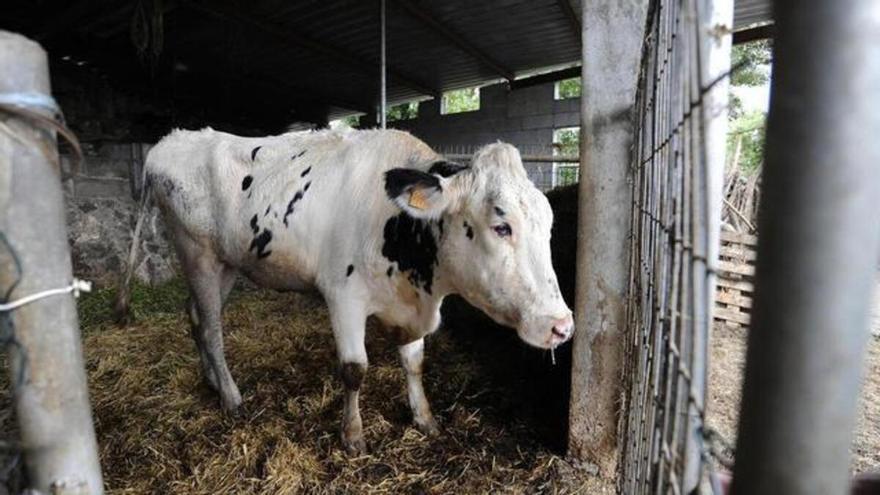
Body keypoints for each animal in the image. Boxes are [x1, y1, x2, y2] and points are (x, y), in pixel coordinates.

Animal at [116, 128, 574, 454]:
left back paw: (212, 381)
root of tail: (171, 140)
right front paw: (352, 436)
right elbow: (355, 369)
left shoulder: (410, 302)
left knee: (195, 318)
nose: (561, 325)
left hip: (228, 263)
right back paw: (231, 397)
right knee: (211, 328)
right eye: (501, 226)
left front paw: (424, 418)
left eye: (551, 224)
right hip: (199, 257)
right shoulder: (344, 298)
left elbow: (414, 363)